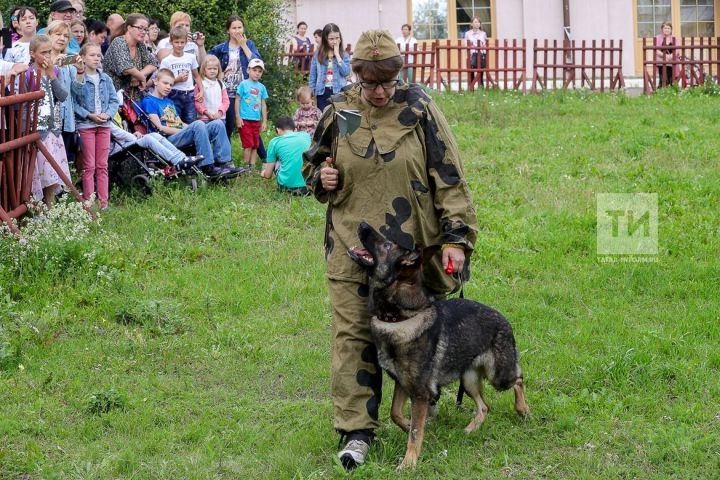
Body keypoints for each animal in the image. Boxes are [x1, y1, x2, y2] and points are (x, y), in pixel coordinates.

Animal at [348, 223, 528, 470]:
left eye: (387, 245)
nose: (362, 224)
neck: (399, 318)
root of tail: (504, 320)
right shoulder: (404, 384)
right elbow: (397, 414)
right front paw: (412, 428)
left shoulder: (420, 393)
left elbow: (415, 431)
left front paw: (408, 463)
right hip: (469, 380)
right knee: (485, 406)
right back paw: (471, 428)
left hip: (498, 375)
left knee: (518, 378)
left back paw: (523, 409)